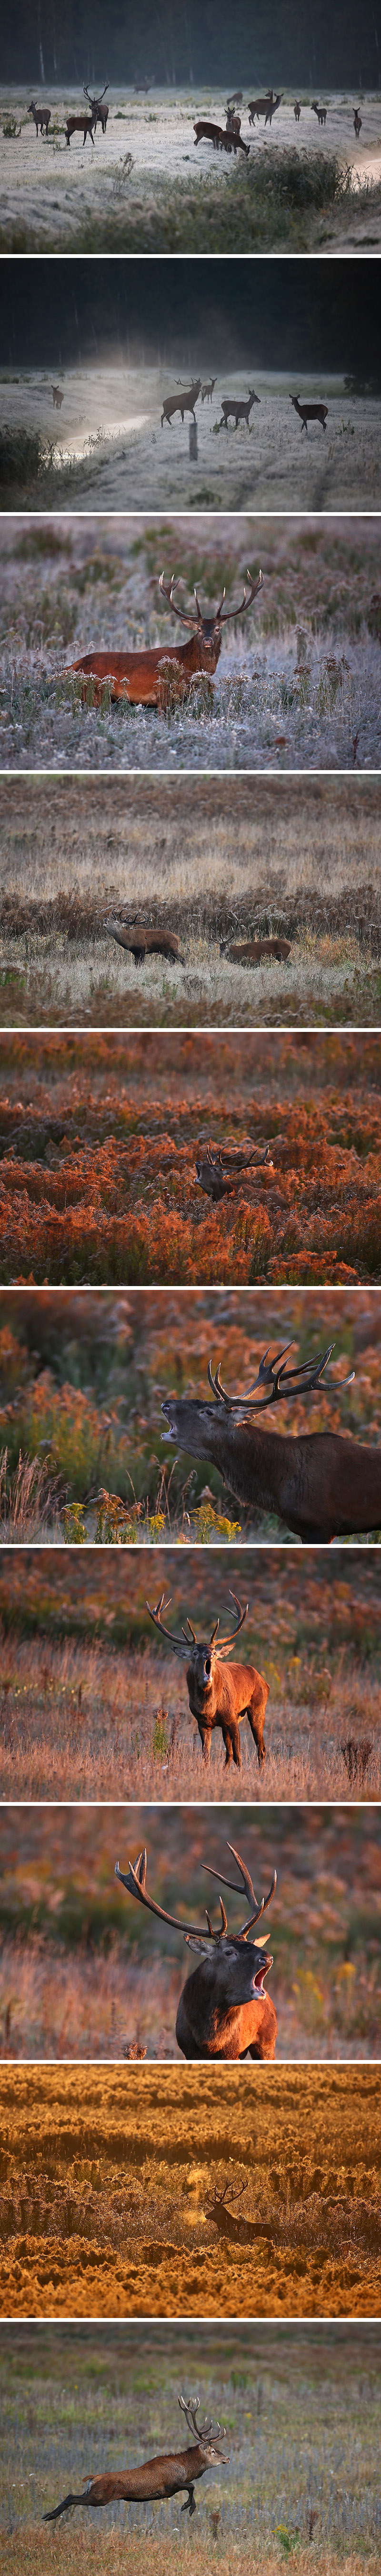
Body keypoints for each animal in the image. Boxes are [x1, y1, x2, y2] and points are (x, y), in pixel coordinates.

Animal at [43, 2396, 229, 2523]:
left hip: (91, 2493)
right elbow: (192, 2486)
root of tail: (93, 2479)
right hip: (99, 2498)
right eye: (214, 2451)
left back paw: (48, 2515)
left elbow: (191, 2487)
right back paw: (50, 2516)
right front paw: (188, 2507)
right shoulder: (171, 2485)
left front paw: (188, 2507)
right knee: (71, 2497)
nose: (227, 2458)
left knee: (72, 2495)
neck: (186, 2470)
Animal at [62, 564, 263, 711]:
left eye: (217, 629)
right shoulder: (163, 696)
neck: (188, 668)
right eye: (199, 630)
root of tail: (73, 667)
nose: (208, 640)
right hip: (94, 694)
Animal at [104, 916, 183, 965]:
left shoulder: (142, 950)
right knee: (173, 961)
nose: (106, 919)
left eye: (116, 922)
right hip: (165, 952)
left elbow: (140, 964)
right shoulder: (135, 953)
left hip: (173, 949)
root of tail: (178, 938)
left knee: (182, 960)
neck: (130, 941)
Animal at [115, 1841, 277, 2061]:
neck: (208, 2040)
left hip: (268, 2041)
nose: (266, 1958)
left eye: (250, 1944)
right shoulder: (188, 2049)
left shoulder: (232, 2051)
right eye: (229, 1952)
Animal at [147, 1587, 269, 1768]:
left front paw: (241, 1772)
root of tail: (263, 1681)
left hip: (258, 1708)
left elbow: (239, 1756)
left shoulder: (231, 1718)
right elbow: (207, 1755)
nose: (208, 1655)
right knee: (229, 1754)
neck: (209, 1708)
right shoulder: (202, 1722)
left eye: (214, 1653)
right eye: (195, 1653)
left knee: (261, 1749)